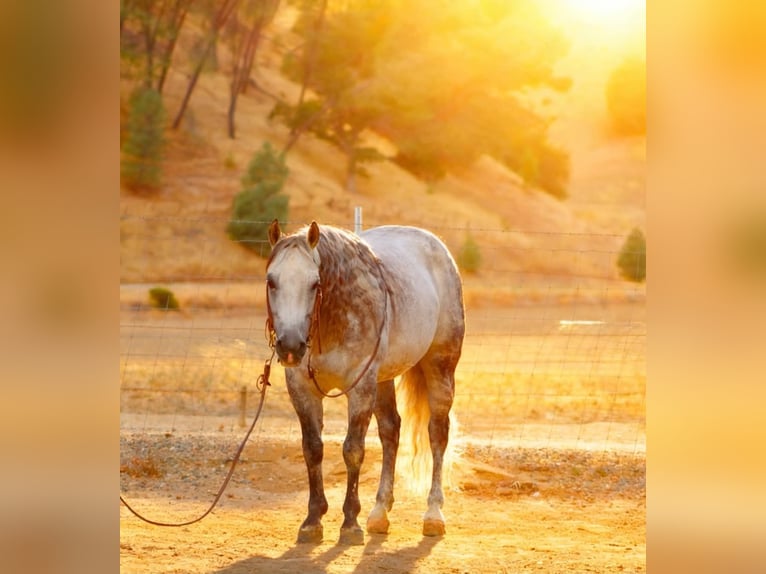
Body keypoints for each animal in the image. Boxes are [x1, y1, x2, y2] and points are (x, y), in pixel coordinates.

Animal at [265, 219, 465, 545]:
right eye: (272, 281)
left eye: (314, 283)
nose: (291, 346)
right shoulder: (302, 390)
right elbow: (313, 449)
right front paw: (313, 520)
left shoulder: (360, 388)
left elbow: (353, 450)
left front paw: (349, 522)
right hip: (383, 380)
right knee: (391, 431)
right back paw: (380, 512)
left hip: (439, 367)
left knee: (437, 434)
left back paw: (433, 514)